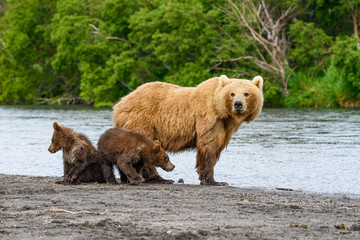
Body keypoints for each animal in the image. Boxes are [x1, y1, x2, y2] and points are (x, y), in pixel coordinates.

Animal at [113, 75, 264, 186]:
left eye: (246, 93)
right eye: (232, 93)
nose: (238, 104)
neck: (222, 113)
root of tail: (120, 103)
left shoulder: (225, 128)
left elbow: (217, 147)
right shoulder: (207, 118)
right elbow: (208, 146)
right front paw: (214, 181)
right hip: (142, 120)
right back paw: (160, 178)